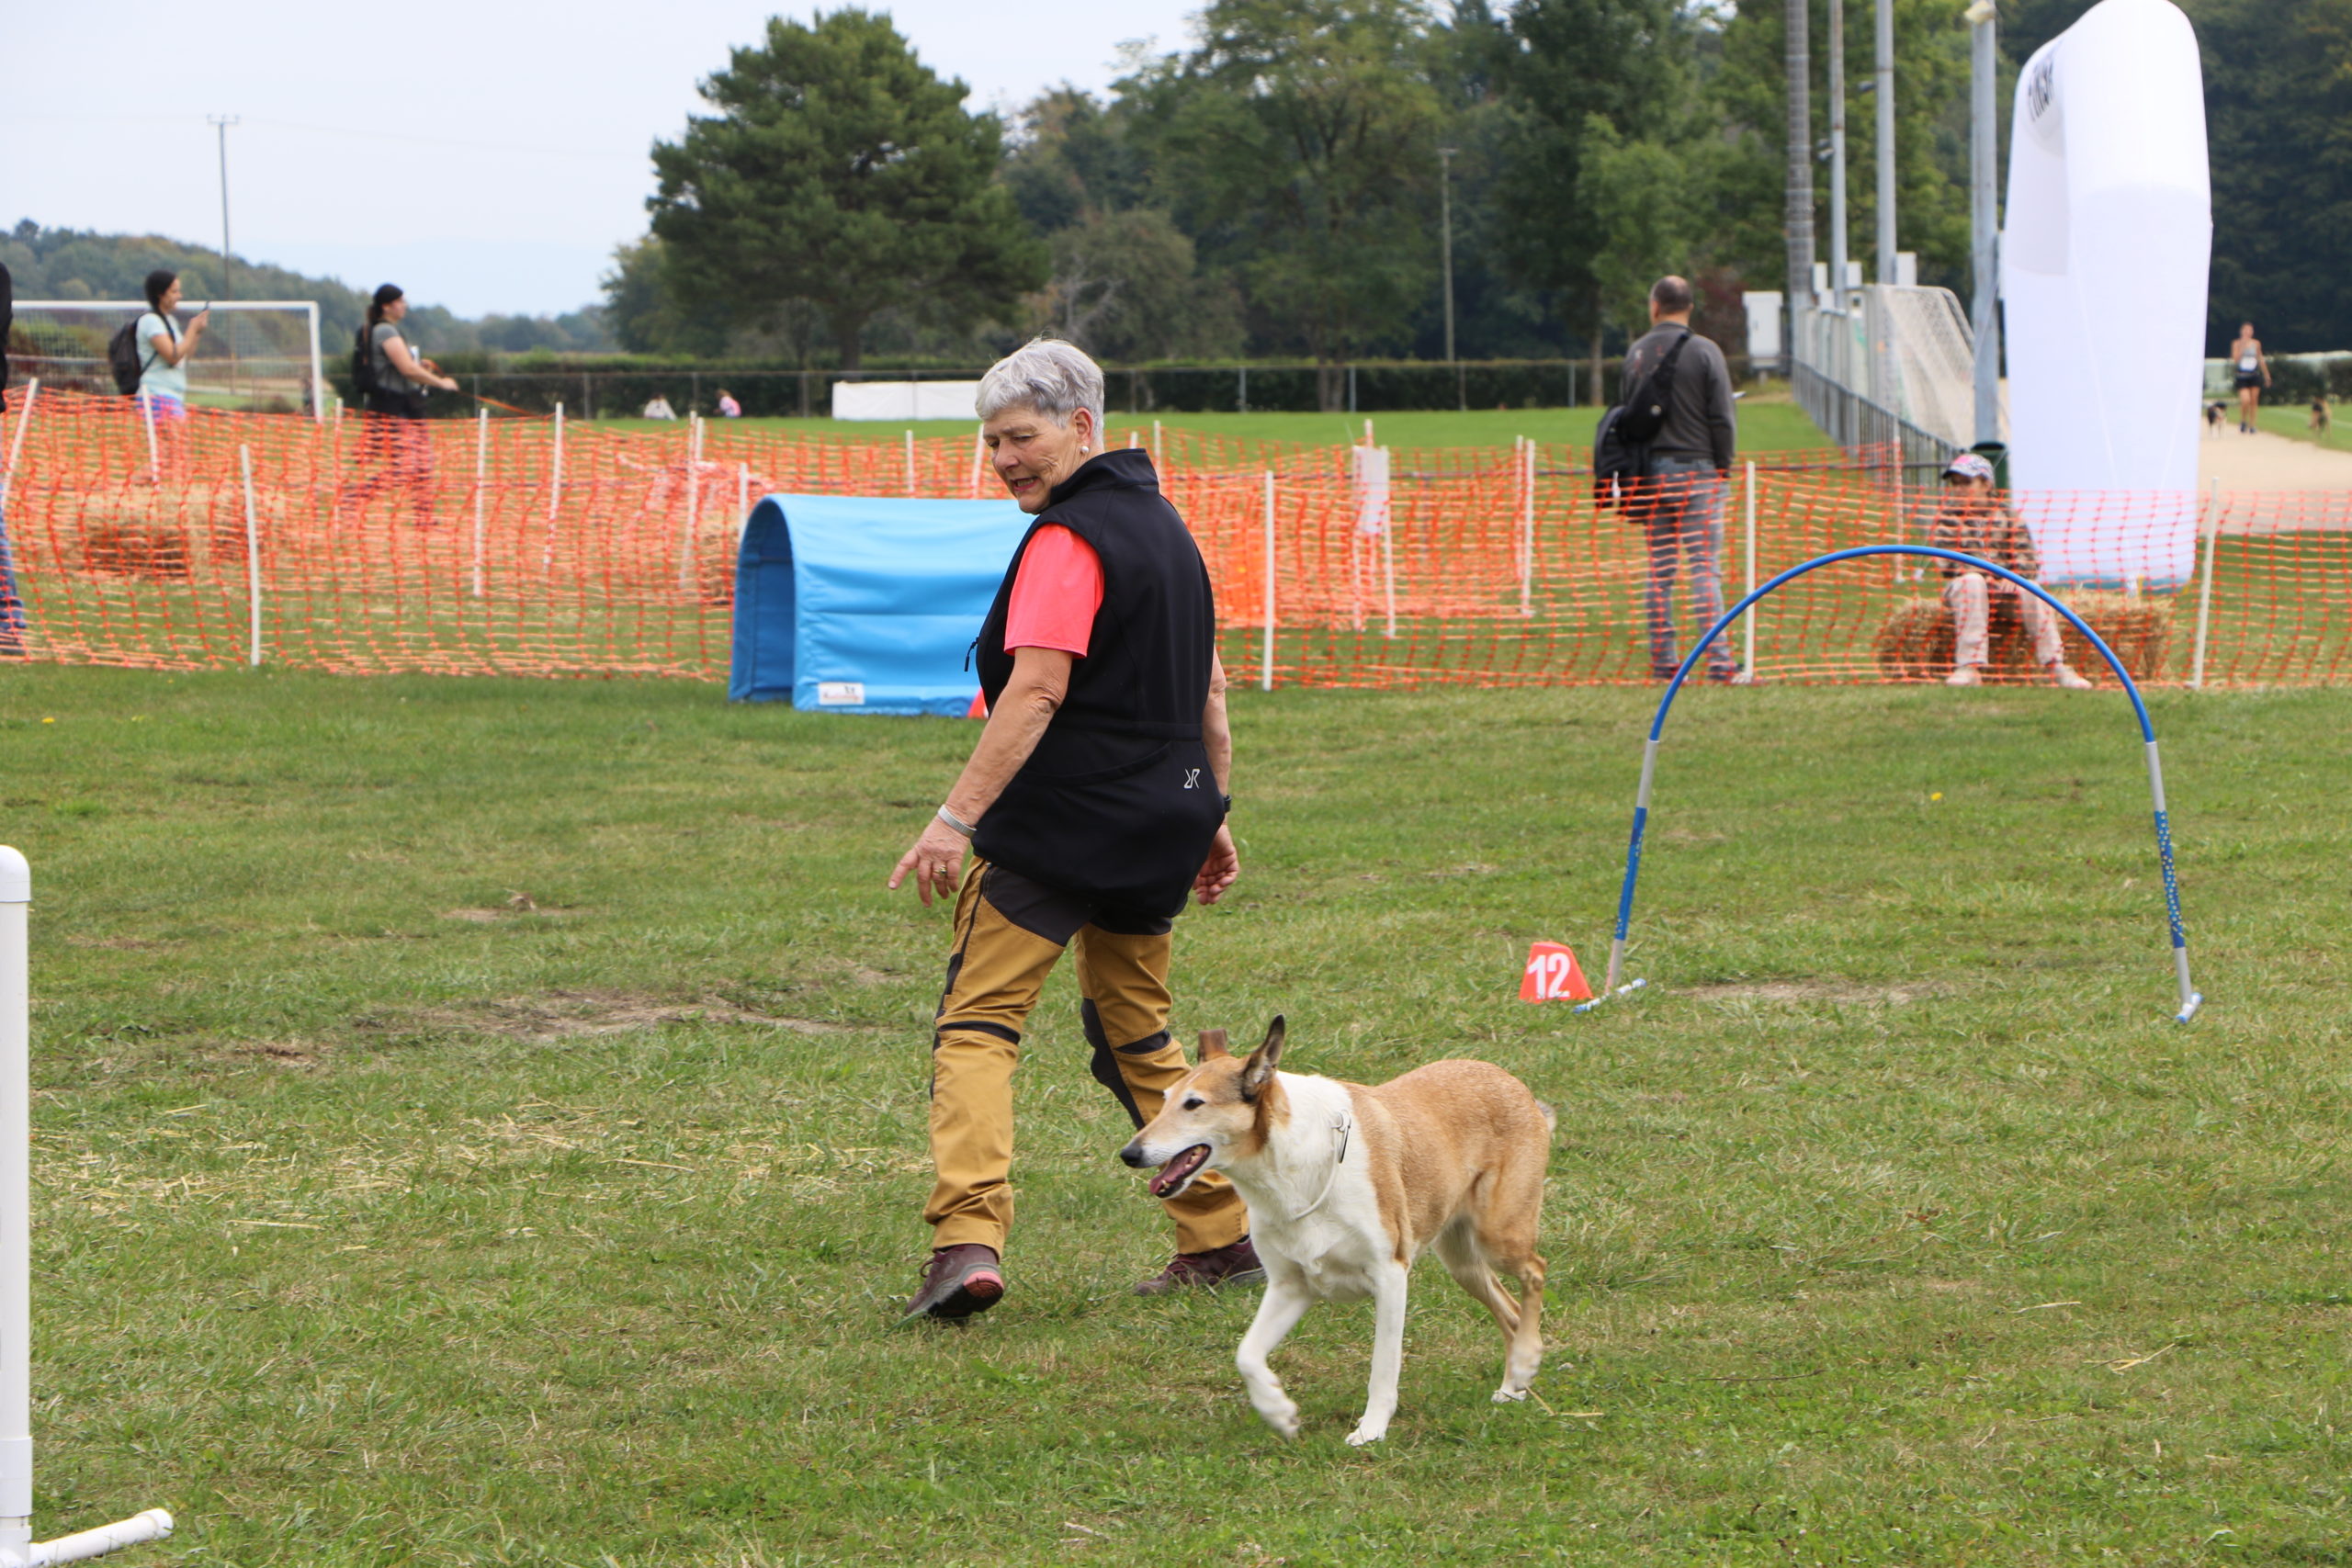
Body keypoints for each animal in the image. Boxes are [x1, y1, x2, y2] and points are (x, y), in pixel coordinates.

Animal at [1119, 1018, 1554, 1446]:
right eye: (1165, 1097)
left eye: (1194, 1104)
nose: (1129, 1154)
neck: (1288, 1168)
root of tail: (1510, 1080)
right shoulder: (1290, 1286)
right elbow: (1247, 1354)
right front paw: (1279, 1412)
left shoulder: (1390, 1275)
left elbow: (1383, 1366)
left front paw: (1371, 1429)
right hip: (1462, 1261)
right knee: (1510, 1310)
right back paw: (1514, 1384)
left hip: (1499, 1235)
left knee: (1535, 1272)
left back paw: (1525, 1361)